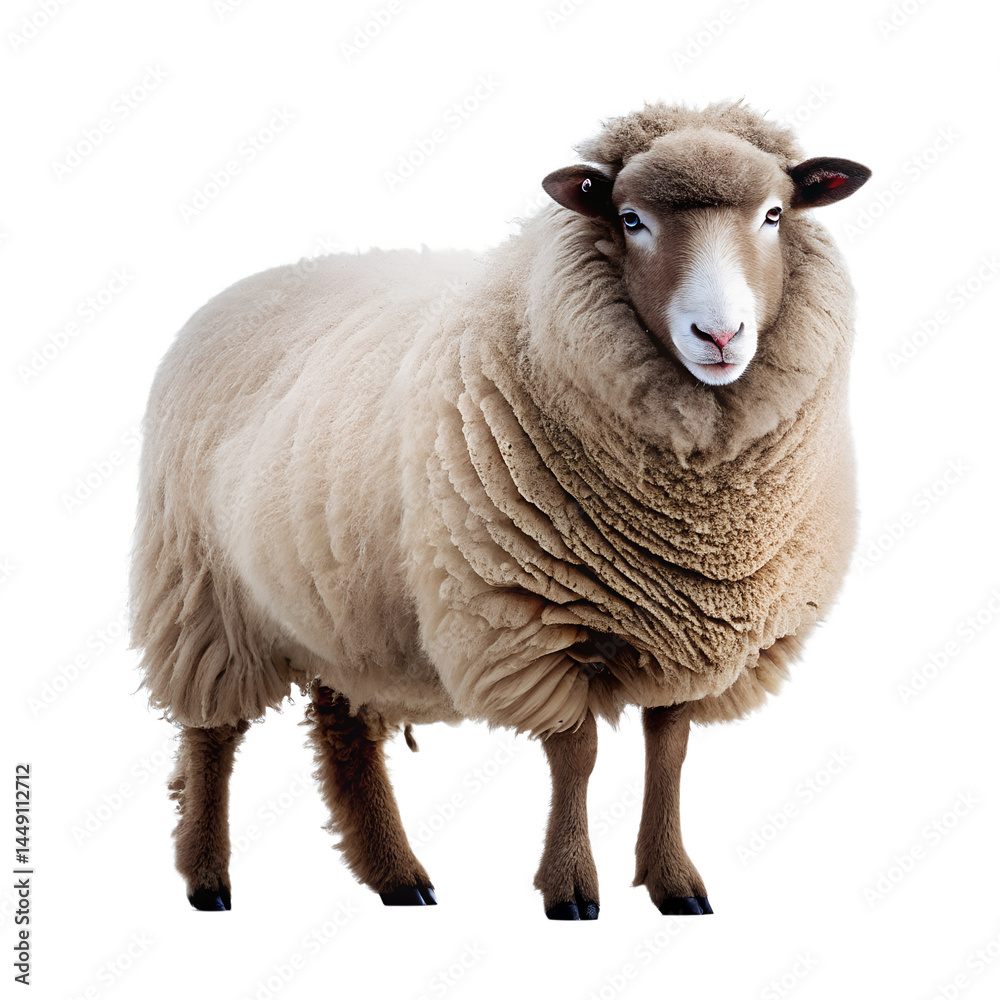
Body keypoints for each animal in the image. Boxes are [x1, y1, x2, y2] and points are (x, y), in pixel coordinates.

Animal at [129, 99, 870, 918]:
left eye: (775, 213)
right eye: (631, 219)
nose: (720, 334)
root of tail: (248, 286)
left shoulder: (694, 624)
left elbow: (669, 750)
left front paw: (674, 881)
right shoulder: (529, 620)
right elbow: (576, 752)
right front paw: (571, 887)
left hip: (338, 599)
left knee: (341, 730)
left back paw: (397, 877)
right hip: (197, 588)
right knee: (213, 734)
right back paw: (208, 877)